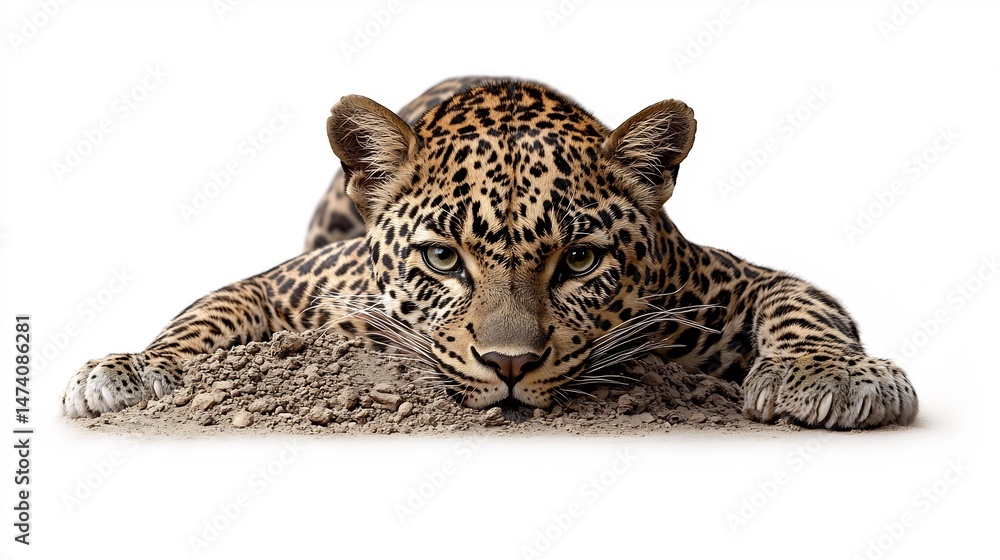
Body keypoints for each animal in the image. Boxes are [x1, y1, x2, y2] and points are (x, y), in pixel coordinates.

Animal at [61, 77, 918, 429]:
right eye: (444, 260)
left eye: (580, 262)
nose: (510, 365)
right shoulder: (299, 284)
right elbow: (208, 312)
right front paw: (130, 369)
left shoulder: (719, 283)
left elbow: (801, 304)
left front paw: (832, 378)